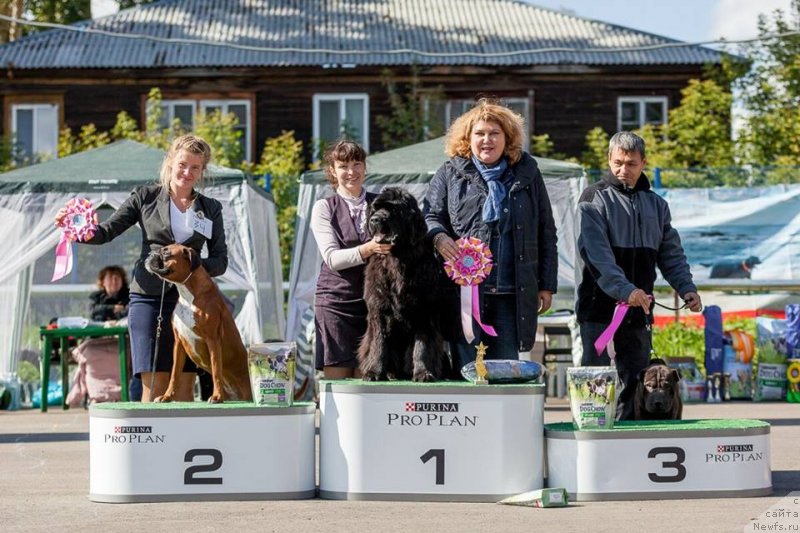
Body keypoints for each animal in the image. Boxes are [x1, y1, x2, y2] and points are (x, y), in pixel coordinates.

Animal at [145, 243, 252, 402]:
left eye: (166, 253)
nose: (150, 253)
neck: (188, 295)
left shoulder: (213, 340)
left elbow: (216, 369)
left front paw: (217, 396)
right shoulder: (178, 343)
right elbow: (174, 373)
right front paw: (167, 396)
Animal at [358, 185, 450, 380]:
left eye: (394, 210)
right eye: (375, 208)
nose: (375, 219)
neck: (398, 258)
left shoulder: (425, 311)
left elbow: (422, 346)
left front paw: (424, 372)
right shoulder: (378, 309)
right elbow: (378, 343)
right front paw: (374, 371)